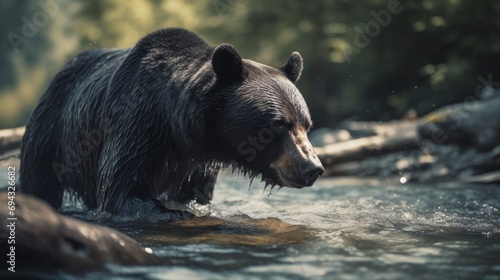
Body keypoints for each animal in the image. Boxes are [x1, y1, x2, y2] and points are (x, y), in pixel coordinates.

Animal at [20, 27, 324, 219]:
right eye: (278, 124)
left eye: (306, 125)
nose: (313, 168)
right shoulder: (134, 122)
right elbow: (118, 189)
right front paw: (175, 213)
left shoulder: (196, 163)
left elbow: (195, 194)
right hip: (52, 131)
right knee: (40, 181)